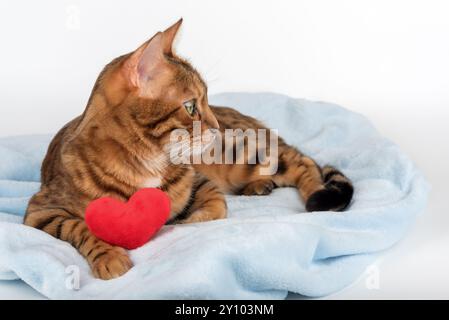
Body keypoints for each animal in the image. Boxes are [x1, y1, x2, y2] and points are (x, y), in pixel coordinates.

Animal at [25, 19, 354, 280]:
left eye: (206, 99)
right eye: (191, 106)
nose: (215, 124)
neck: (146, 162)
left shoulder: (199, 180)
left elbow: (216, 207)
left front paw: (189, 221)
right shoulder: (41, 211)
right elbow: (79, 228)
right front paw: (109, 256)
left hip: (244, 153)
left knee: (303, 163)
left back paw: (313, 194)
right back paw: (260, 186)